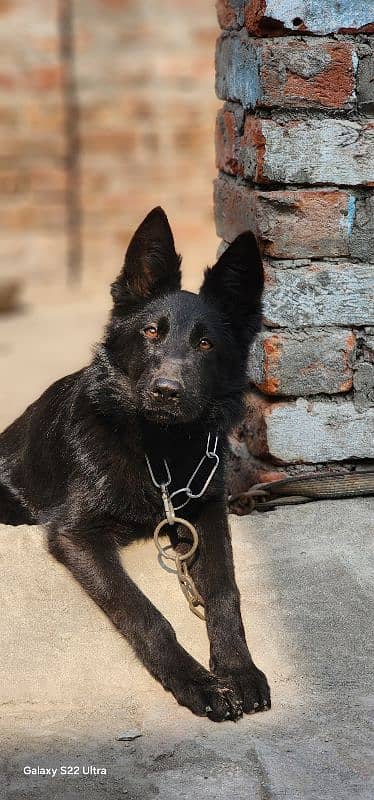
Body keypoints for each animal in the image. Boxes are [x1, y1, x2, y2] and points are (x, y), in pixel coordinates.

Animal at [0, 209, 270, 720]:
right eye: (150, 332)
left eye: (206, 344)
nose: (166, 391)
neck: (159, 452)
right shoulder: (76, 534)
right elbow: (145, 613)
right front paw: (196, 681)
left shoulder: (206, 511)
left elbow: (225, 590)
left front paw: (238, 669)